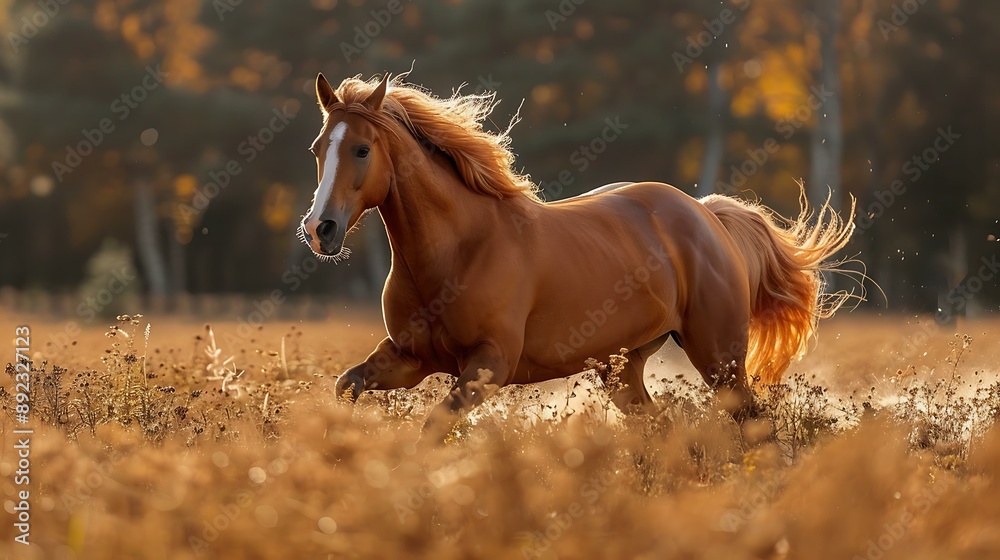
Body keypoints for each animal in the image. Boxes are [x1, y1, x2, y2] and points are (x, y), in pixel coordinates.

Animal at [298, 72, 856, 431]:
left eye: (362, 149)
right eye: (318, 149)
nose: (319, 229)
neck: (457, 251)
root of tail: (706, 215)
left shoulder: (488, 365)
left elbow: (431, 428)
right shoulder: (411, 359)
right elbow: (345, 387)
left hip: (719, 358)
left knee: (753, 425)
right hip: (622, 366)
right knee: (658, 423)